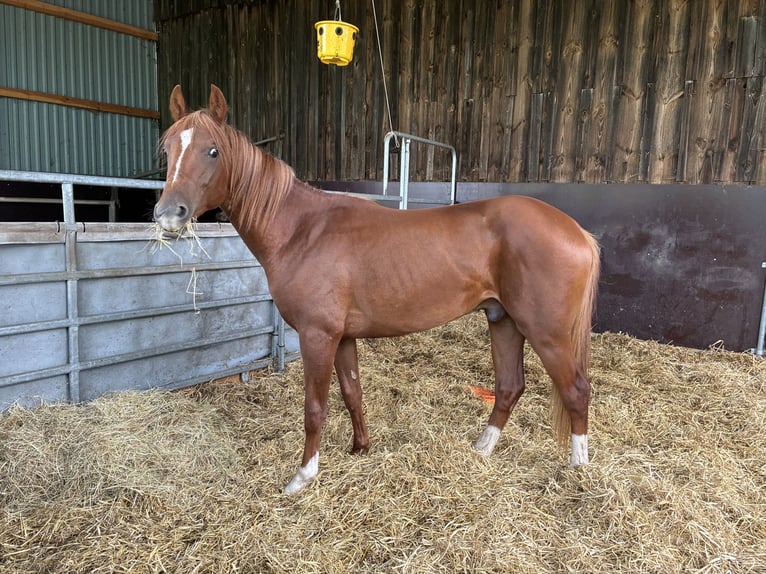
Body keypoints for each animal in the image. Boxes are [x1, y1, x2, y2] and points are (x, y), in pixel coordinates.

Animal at [154, 84, 600, 494]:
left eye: (213, 151)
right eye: (167, 149)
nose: (168, 214)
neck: (302, 230)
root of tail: (577, 231)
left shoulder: (318, 336)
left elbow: (314, 408)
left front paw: (303, 476)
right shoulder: (343, 337)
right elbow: (352, 392)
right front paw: (360, 449)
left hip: (546, 332)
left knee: (576, 390)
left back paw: (579, 471)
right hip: (503, 320)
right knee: (509, 387)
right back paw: (481, 450)